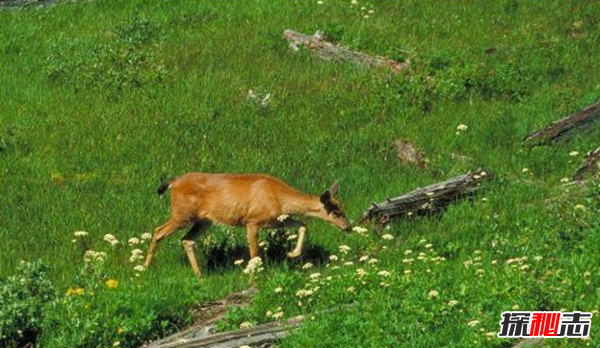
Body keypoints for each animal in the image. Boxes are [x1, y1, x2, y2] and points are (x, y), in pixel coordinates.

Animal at [144, 173, 352, 278]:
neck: (279, 198)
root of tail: (174, 182)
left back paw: (200, 276)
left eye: (342, 207)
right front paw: (255, 280)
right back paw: (145, 268)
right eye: (336, 212)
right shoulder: (252, 221)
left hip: (204, 220)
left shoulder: (275, 220)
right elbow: (255, 254)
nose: (348, 227)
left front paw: (292, 253)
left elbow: (302, 224)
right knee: (158, 231)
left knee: (186, 240)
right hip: (182, 214)